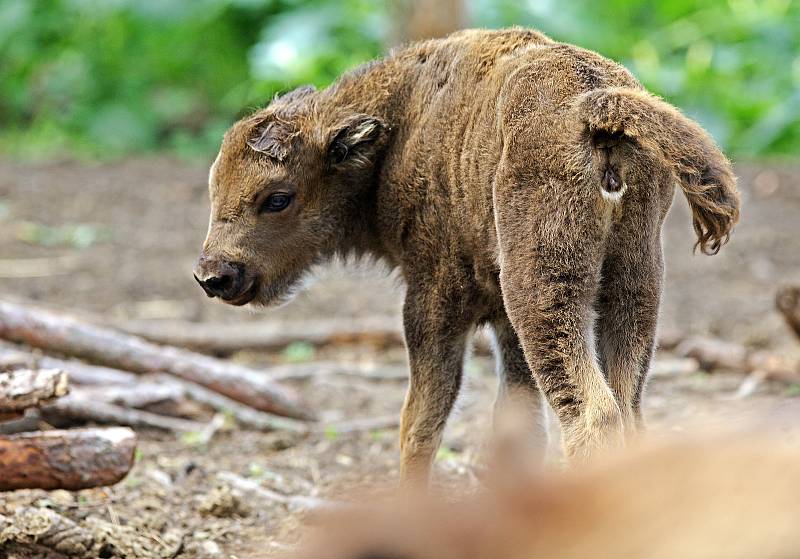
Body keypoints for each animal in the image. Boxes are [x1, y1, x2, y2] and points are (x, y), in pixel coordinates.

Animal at [192, 27, 736, 482]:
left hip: (543, 294)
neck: (401, 129)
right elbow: (518, 422)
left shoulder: (433, 304)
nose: (214, 275)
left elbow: (420, 424)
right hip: (633, 285)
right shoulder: (504, 326)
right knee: (627, 409)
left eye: (277, 198)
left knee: (593, 413)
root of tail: (591, 103)